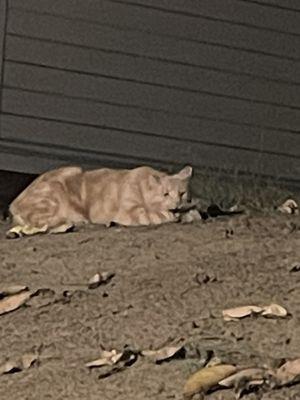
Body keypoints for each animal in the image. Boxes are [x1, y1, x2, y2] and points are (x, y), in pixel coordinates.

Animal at [7, 165, 193, 238]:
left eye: (182, 193)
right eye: (166, 194)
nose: (177, 203)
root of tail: (13, 204)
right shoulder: (130, 211)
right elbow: (158, 215)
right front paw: (176, 215)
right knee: (43, 225)